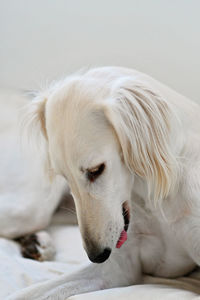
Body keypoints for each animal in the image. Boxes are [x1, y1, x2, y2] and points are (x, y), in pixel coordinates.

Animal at [1, 67, 200, 298]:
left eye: (95, 170)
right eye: (64, 175)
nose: (96, 255)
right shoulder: (118, 266)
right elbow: (29, 292)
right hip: (31, 207)